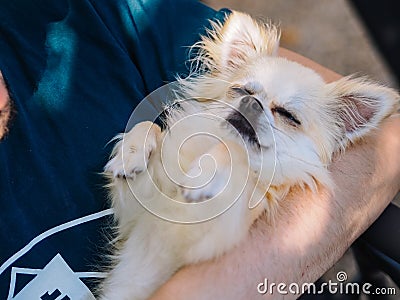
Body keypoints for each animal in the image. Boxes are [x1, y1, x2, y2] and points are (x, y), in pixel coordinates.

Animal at [98, 11, 398, 298]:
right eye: (242, 90)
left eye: (288, 116)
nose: (251, 102)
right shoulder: (138, 210)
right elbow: (148, 128)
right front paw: (131, 152)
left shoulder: (207, 231)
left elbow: (233, 150)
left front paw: (208, 174)